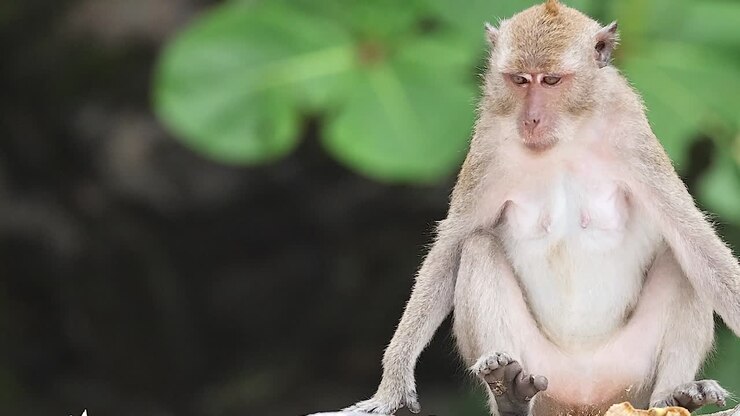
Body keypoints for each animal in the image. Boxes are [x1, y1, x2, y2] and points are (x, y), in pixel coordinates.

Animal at [344, 1, 740, 416]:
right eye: (520, 80)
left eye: (550, 81)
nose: (531, 118)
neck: (565, 137)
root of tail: (586, 402)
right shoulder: (489, 143)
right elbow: (450, 249)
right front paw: (392, 386)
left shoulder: (631, 133)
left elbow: (693, 238)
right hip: (545, 373)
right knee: (478, 248)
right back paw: (509, 393)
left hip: (630, 376)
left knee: (683, 261)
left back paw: (675, 396)